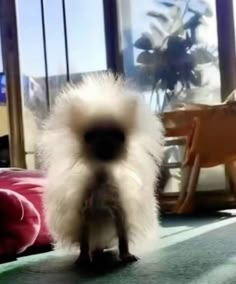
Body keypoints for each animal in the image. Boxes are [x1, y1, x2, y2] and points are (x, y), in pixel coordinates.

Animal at [39, 72, 164, 264]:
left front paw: (126, 255)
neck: (102, 178)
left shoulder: (119, 209)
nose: (105, 143)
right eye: (91, 136)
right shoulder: (84, 213)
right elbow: (84, 239)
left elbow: (123, 236)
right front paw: (83, 258)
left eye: (118, 136)